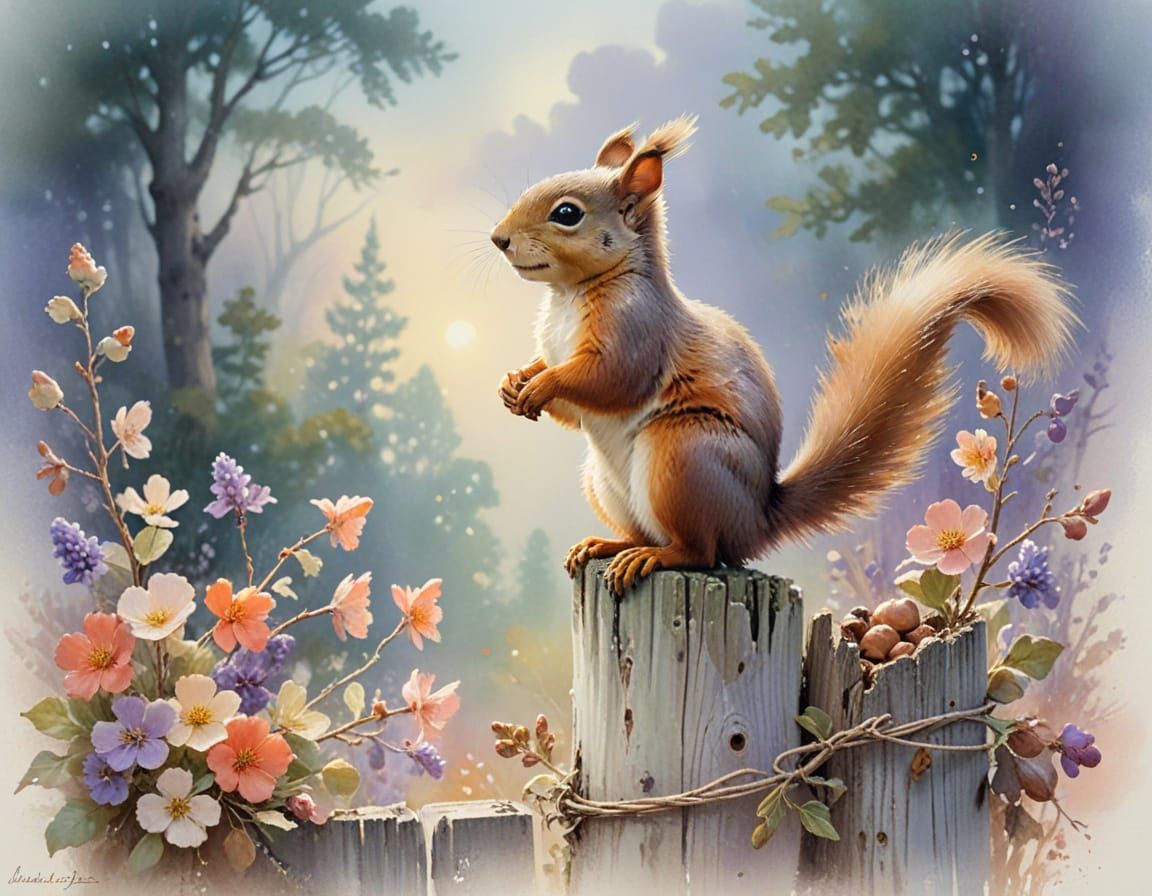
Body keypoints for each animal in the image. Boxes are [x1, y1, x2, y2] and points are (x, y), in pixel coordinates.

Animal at [491, 116, 1076, 594]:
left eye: (567, 214)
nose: (498, 238)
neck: (570, 295)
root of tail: (756, 522)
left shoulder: (638, 329)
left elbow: (610, 379)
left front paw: (541, 385)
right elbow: (569, 398)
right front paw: (516, 380)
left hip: (683, 456)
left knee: (699, 551)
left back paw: (653, 558)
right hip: (607, 483)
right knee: (649, 533)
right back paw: (608, 545)